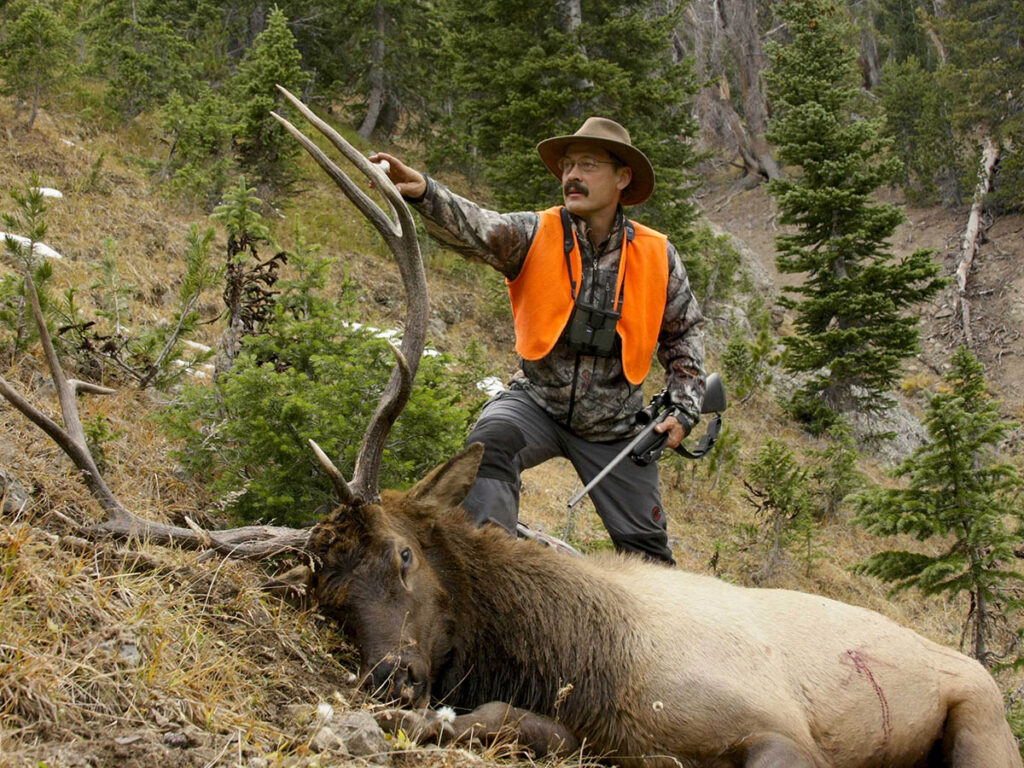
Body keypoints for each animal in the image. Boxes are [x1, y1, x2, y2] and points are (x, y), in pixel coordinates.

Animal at [1, 86, 1020, 767]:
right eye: (320, 593)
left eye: (402, 556)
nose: (386, 678)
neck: (585, 654)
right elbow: (493, 721)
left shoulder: (778, 729)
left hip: (978, 712)